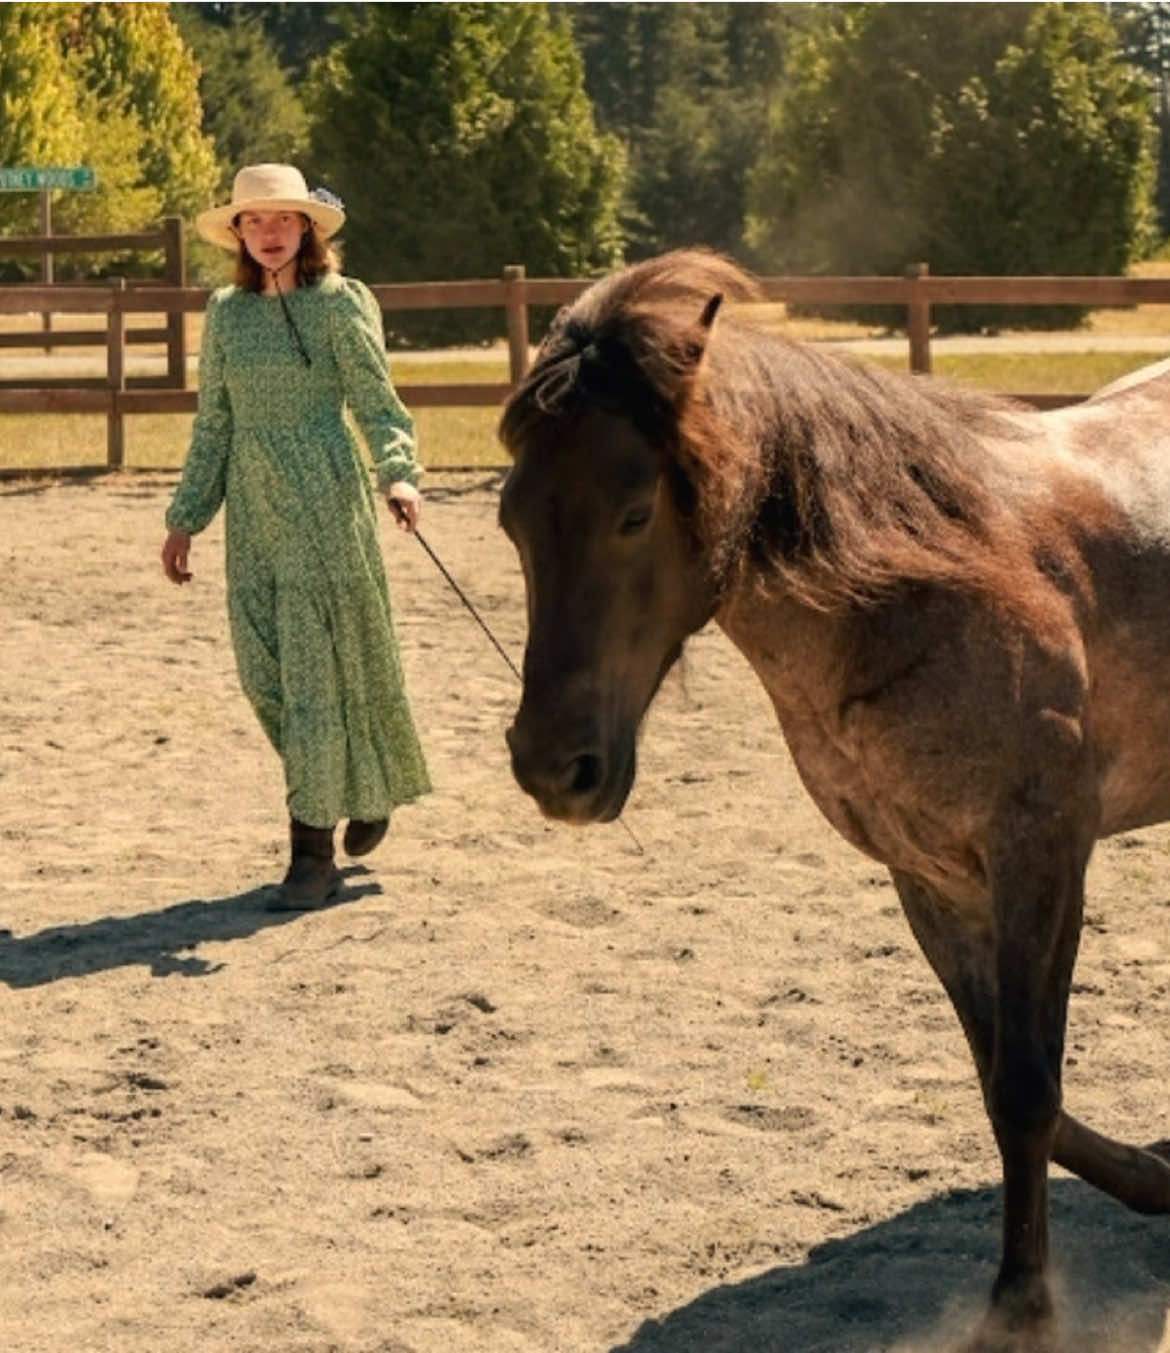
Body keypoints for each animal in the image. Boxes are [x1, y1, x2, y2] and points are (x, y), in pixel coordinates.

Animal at [496, 250, 1170, 1352]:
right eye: (512, 518)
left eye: (633, 512)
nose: (555, 767)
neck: (927, 586)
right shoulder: (931, 874)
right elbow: (1001, 1074)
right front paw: (1153, 1177)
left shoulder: (1041, 854)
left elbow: (1028, 1084)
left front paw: (1020, 1308)